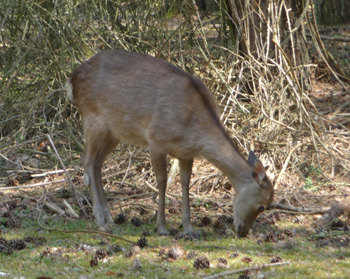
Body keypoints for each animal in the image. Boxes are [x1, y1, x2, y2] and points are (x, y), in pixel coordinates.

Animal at [65, 49, 274, 236]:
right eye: (262, 206)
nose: (242, 231)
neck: (193, 129)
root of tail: (72, 80)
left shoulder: (186, 153)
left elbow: (185, 183)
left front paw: (189, 228)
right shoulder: (156, 140)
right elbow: (162, 181)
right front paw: (161, 227)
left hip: (113, 132)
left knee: (98, 164)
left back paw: (109, 218)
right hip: (92, 118)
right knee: (87, 162)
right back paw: (100, 219)